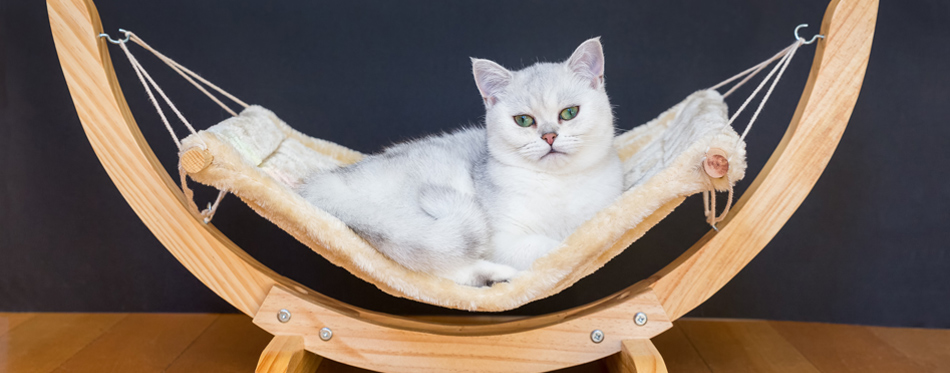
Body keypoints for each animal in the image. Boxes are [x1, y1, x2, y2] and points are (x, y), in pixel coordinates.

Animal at [300, 37, 624, 286]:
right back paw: (498, 275)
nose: (549, 136)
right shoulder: (502, 239)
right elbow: (548, 248)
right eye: (523, 120)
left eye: (569, 113)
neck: (558, 186)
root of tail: (330, 180)